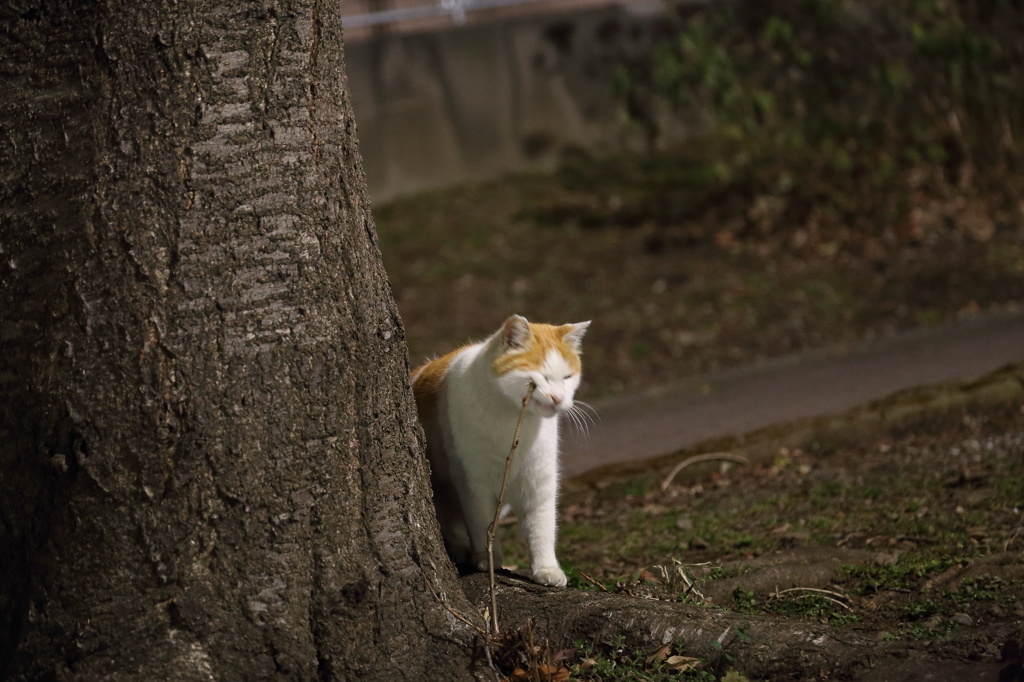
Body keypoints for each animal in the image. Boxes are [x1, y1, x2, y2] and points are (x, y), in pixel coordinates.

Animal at [409, 313, 589, 585]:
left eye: (567, 378)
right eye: (542, 377)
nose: (558, 398)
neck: (512, 419)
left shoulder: (539, 481)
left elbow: (542, 528)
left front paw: (546, 569)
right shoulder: (473, 482)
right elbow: (480, 521)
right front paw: (487, 559)